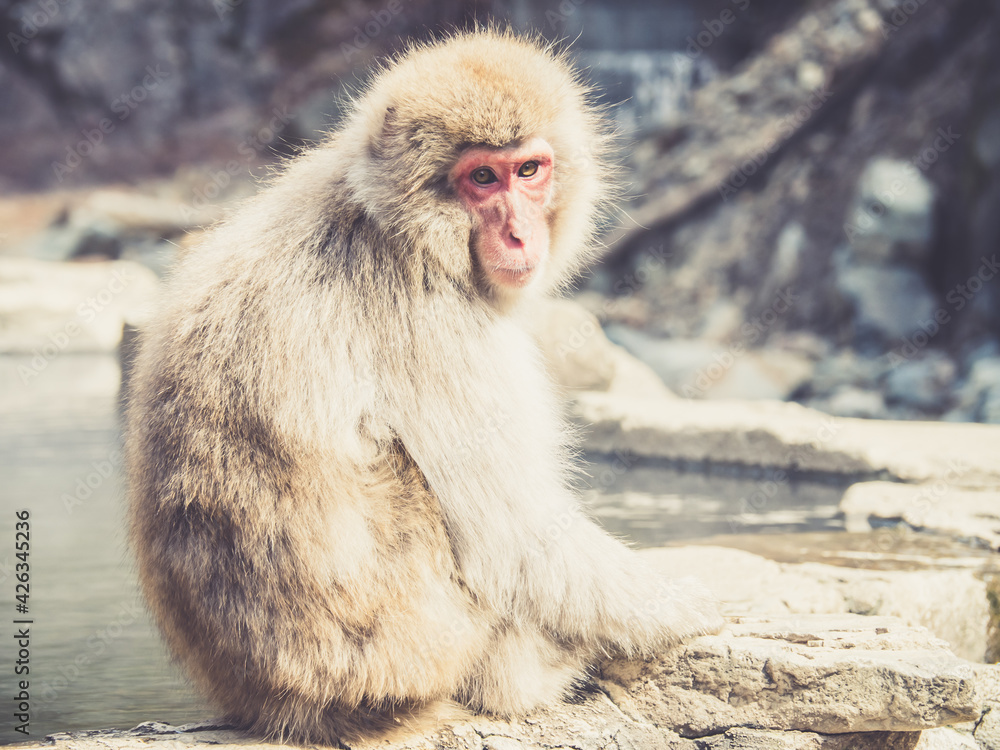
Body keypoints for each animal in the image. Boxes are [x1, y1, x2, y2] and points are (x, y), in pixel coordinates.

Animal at [125, 29, 722, 746]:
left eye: (529, 170)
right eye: (481, 178)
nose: (519, 233)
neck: (398, 228)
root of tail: (275, 706)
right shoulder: (439, 324)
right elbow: (516, 538)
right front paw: (691, 605)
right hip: (421, 648)